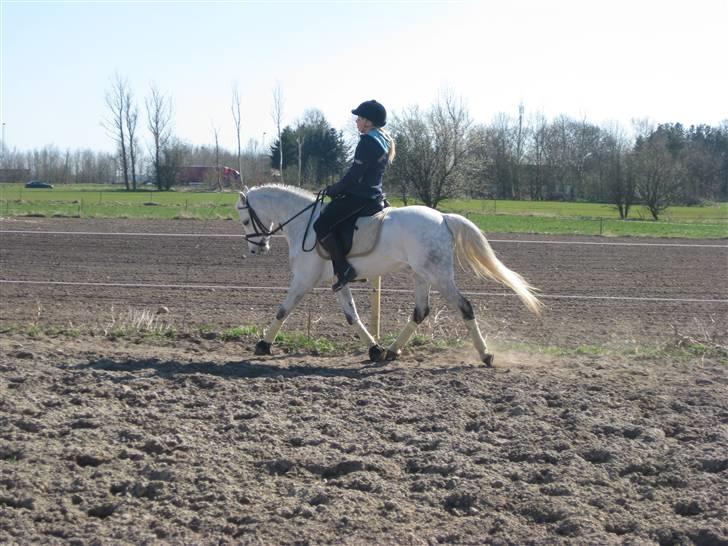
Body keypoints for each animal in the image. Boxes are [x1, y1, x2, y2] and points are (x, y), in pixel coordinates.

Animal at [236, 184, 543, 366]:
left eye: (245, 220)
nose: (256, 248)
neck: (305, 223)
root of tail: (443, 218)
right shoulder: (338, 282)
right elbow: (352, 316)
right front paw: (374, 348)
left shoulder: (303, 279)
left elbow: (282, 310)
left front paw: (262, 345)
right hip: (422, 275)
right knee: (420, 312)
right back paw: (392, 351)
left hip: (438, 274)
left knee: (464, 306)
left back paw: (486, 354)